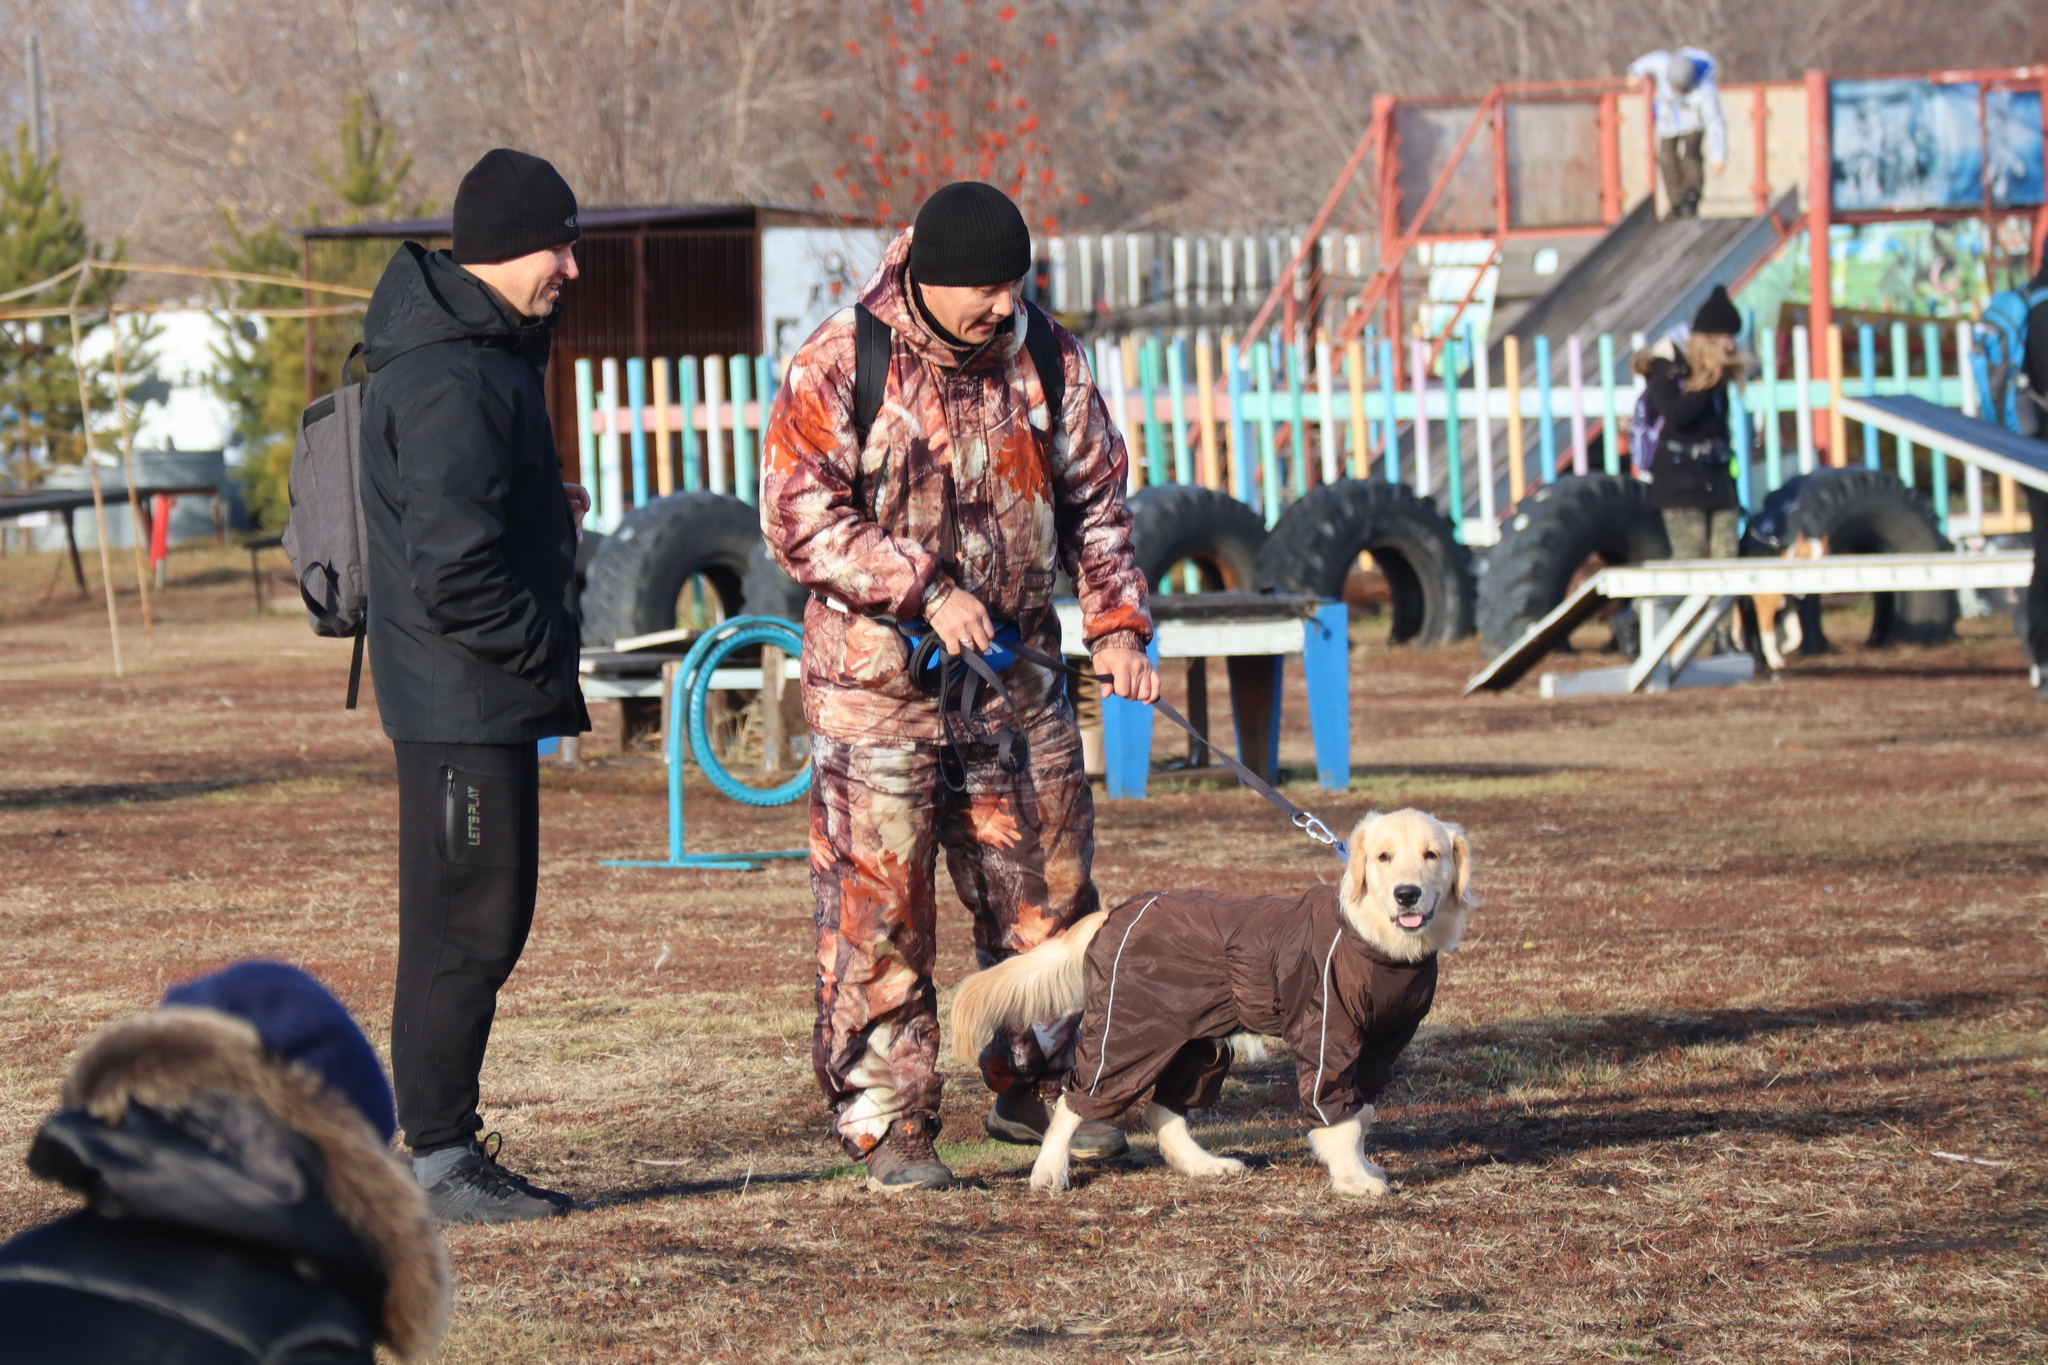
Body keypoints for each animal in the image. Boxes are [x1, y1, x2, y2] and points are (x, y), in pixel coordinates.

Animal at [950, 810, 1482, 1195]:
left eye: (1432, 855)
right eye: (1384, 857)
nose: (1407, 895)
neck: (1376, 943)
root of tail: (1115, 914)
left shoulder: (1380, 1047)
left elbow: (1362, 1112)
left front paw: (1363, 1168)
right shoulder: (1328, 1036)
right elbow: (1339, 1115)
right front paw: (1352, 1179)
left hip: (1196, 1042)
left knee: (1163, 1112)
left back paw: (1203, 1166)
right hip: (1124, 1039)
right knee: (1074, 1099)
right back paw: (1048, 1172)